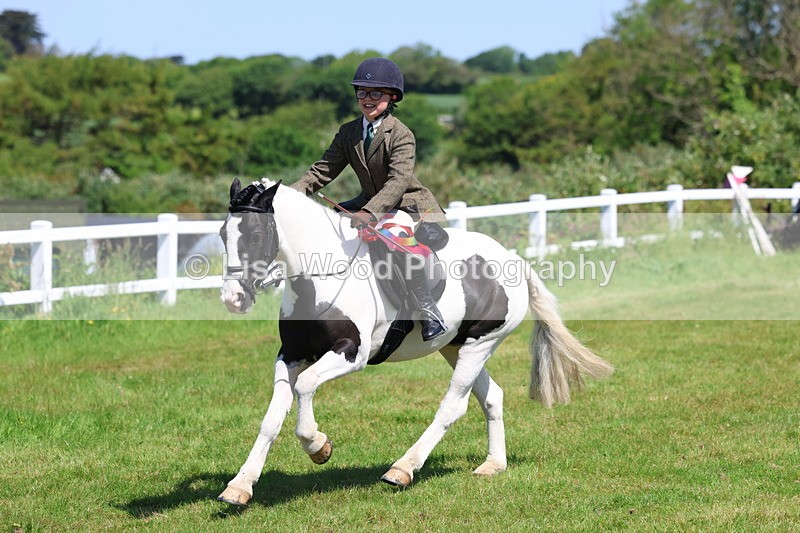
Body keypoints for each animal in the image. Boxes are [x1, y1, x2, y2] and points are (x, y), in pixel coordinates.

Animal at [216, 178, 613, 505]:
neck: (319, 277)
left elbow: (307, 387)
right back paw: (493, 465)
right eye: (222, 233)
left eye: (254, 234)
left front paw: (318, 446)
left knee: (452, 407)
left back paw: (402, 469)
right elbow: (271, 418)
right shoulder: (292, 355)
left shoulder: (350, 354)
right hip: (458, 347)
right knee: (492, 396)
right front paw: (240, 487)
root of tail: (514, 260)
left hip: (480, 345)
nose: (233, 299)